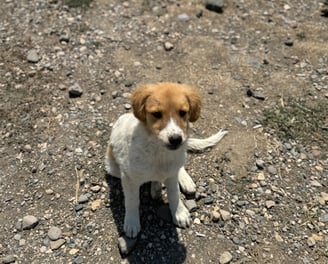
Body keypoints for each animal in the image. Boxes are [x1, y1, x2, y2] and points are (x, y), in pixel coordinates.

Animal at [104, 82, 227, 237]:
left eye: (183, 112)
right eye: (156, 114)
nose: (176, 139)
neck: (159, 151)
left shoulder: (172, 173)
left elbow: (174, 193)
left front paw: (179, 212)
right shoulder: (128, 178)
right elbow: (132, 201)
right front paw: (132, 222)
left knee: (178, 168)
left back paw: (182, 181)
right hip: (112, 167)